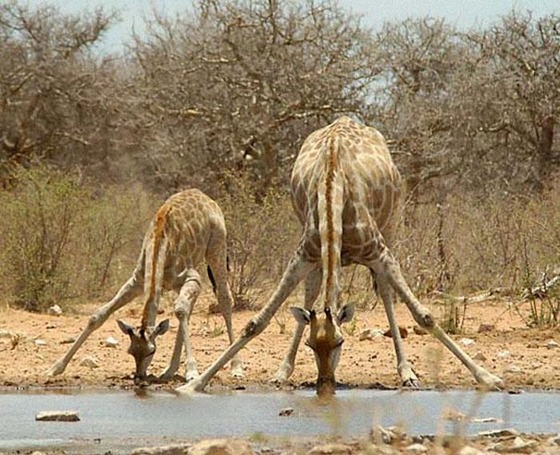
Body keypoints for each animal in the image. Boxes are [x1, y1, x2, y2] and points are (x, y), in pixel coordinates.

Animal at [46, 189, 243, 384]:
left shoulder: (192, 277)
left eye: (151, 351)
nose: (139, 377)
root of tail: (205, 196)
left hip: (217, 246)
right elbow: (98, 315)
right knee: (189, 309)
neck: (158, 249)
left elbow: (180, 310)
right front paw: (55, 368)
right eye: (131, 351)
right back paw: (169, 370)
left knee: (224, 299)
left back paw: (236, 367)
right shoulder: (137, 282)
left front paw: (193, 372)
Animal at [178, 116, 504, 396]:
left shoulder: (380, 251)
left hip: (391, 226)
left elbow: (424, 315)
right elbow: (256, 322)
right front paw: (193, 385)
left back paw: (407, 373)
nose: (324, 384)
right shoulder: (303, 254)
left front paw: (489, 377)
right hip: (318, 254)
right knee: (312, 292)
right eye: (311, 345)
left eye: (340, 342)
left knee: (386, 293)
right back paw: (283, 372)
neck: (333, 187)